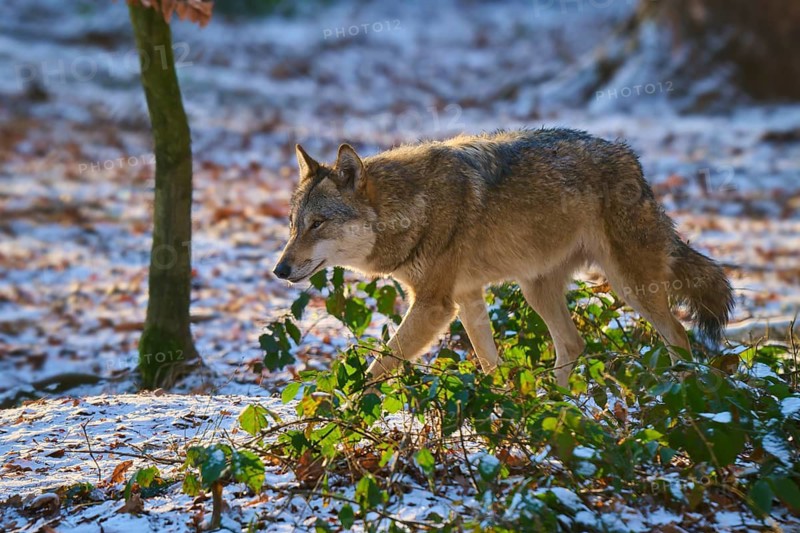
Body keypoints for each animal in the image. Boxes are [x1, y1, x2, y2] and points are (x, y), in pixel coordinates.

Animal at [274, 129, 734, 387]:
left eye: (318, 224)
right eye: (294, 225)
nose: (279, 270)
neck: (410, 207)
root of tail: (633, 162)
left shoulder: (435, 305)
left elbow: (379, 368)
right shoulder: (466, 298)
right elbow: (488, 362)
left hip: (631, 285)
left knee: (679, 336)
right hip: (536, 289)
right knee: (574, 343)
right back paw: (555, 405)